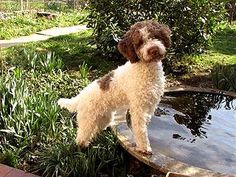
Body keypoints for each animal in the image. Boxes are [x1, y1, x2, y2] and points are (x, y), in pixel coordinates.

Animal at [57, 20, 171, 154]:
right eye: (140, 42)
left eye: (155, 36)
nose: (153, 50)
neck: (147, 69)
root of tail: (80, 96)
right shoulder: (138, 108)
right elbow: (140, 129)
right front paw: (144, 147)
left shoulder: (150, 105)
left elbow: (144, 125)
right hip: (88, 120)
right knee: (81, 137)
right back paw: (82, 150)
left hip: (103, 118)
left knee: (93, 132)